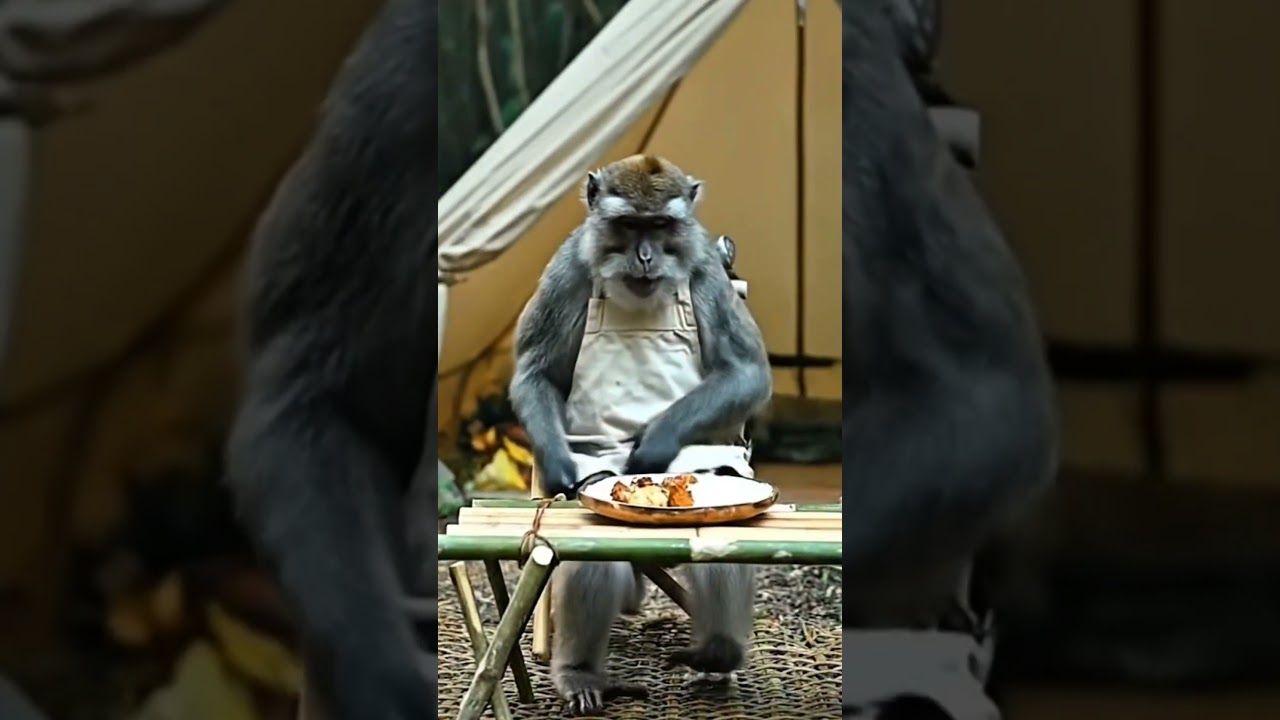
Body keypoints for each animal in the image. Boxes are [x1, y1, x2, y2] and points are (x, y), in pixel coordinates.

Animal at [508, 155, 772, 716]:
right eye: (629, 225)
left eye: (661, 225)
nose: (646, 257)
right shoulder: (567, 269)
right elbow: (538, 373)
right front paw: (558, 467)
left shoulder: (708, 270)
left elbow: (745, 371)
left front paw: (653, 443)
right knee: (599, 531)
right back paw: (580, 674)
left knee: (719, 494)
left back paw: (718, 652)